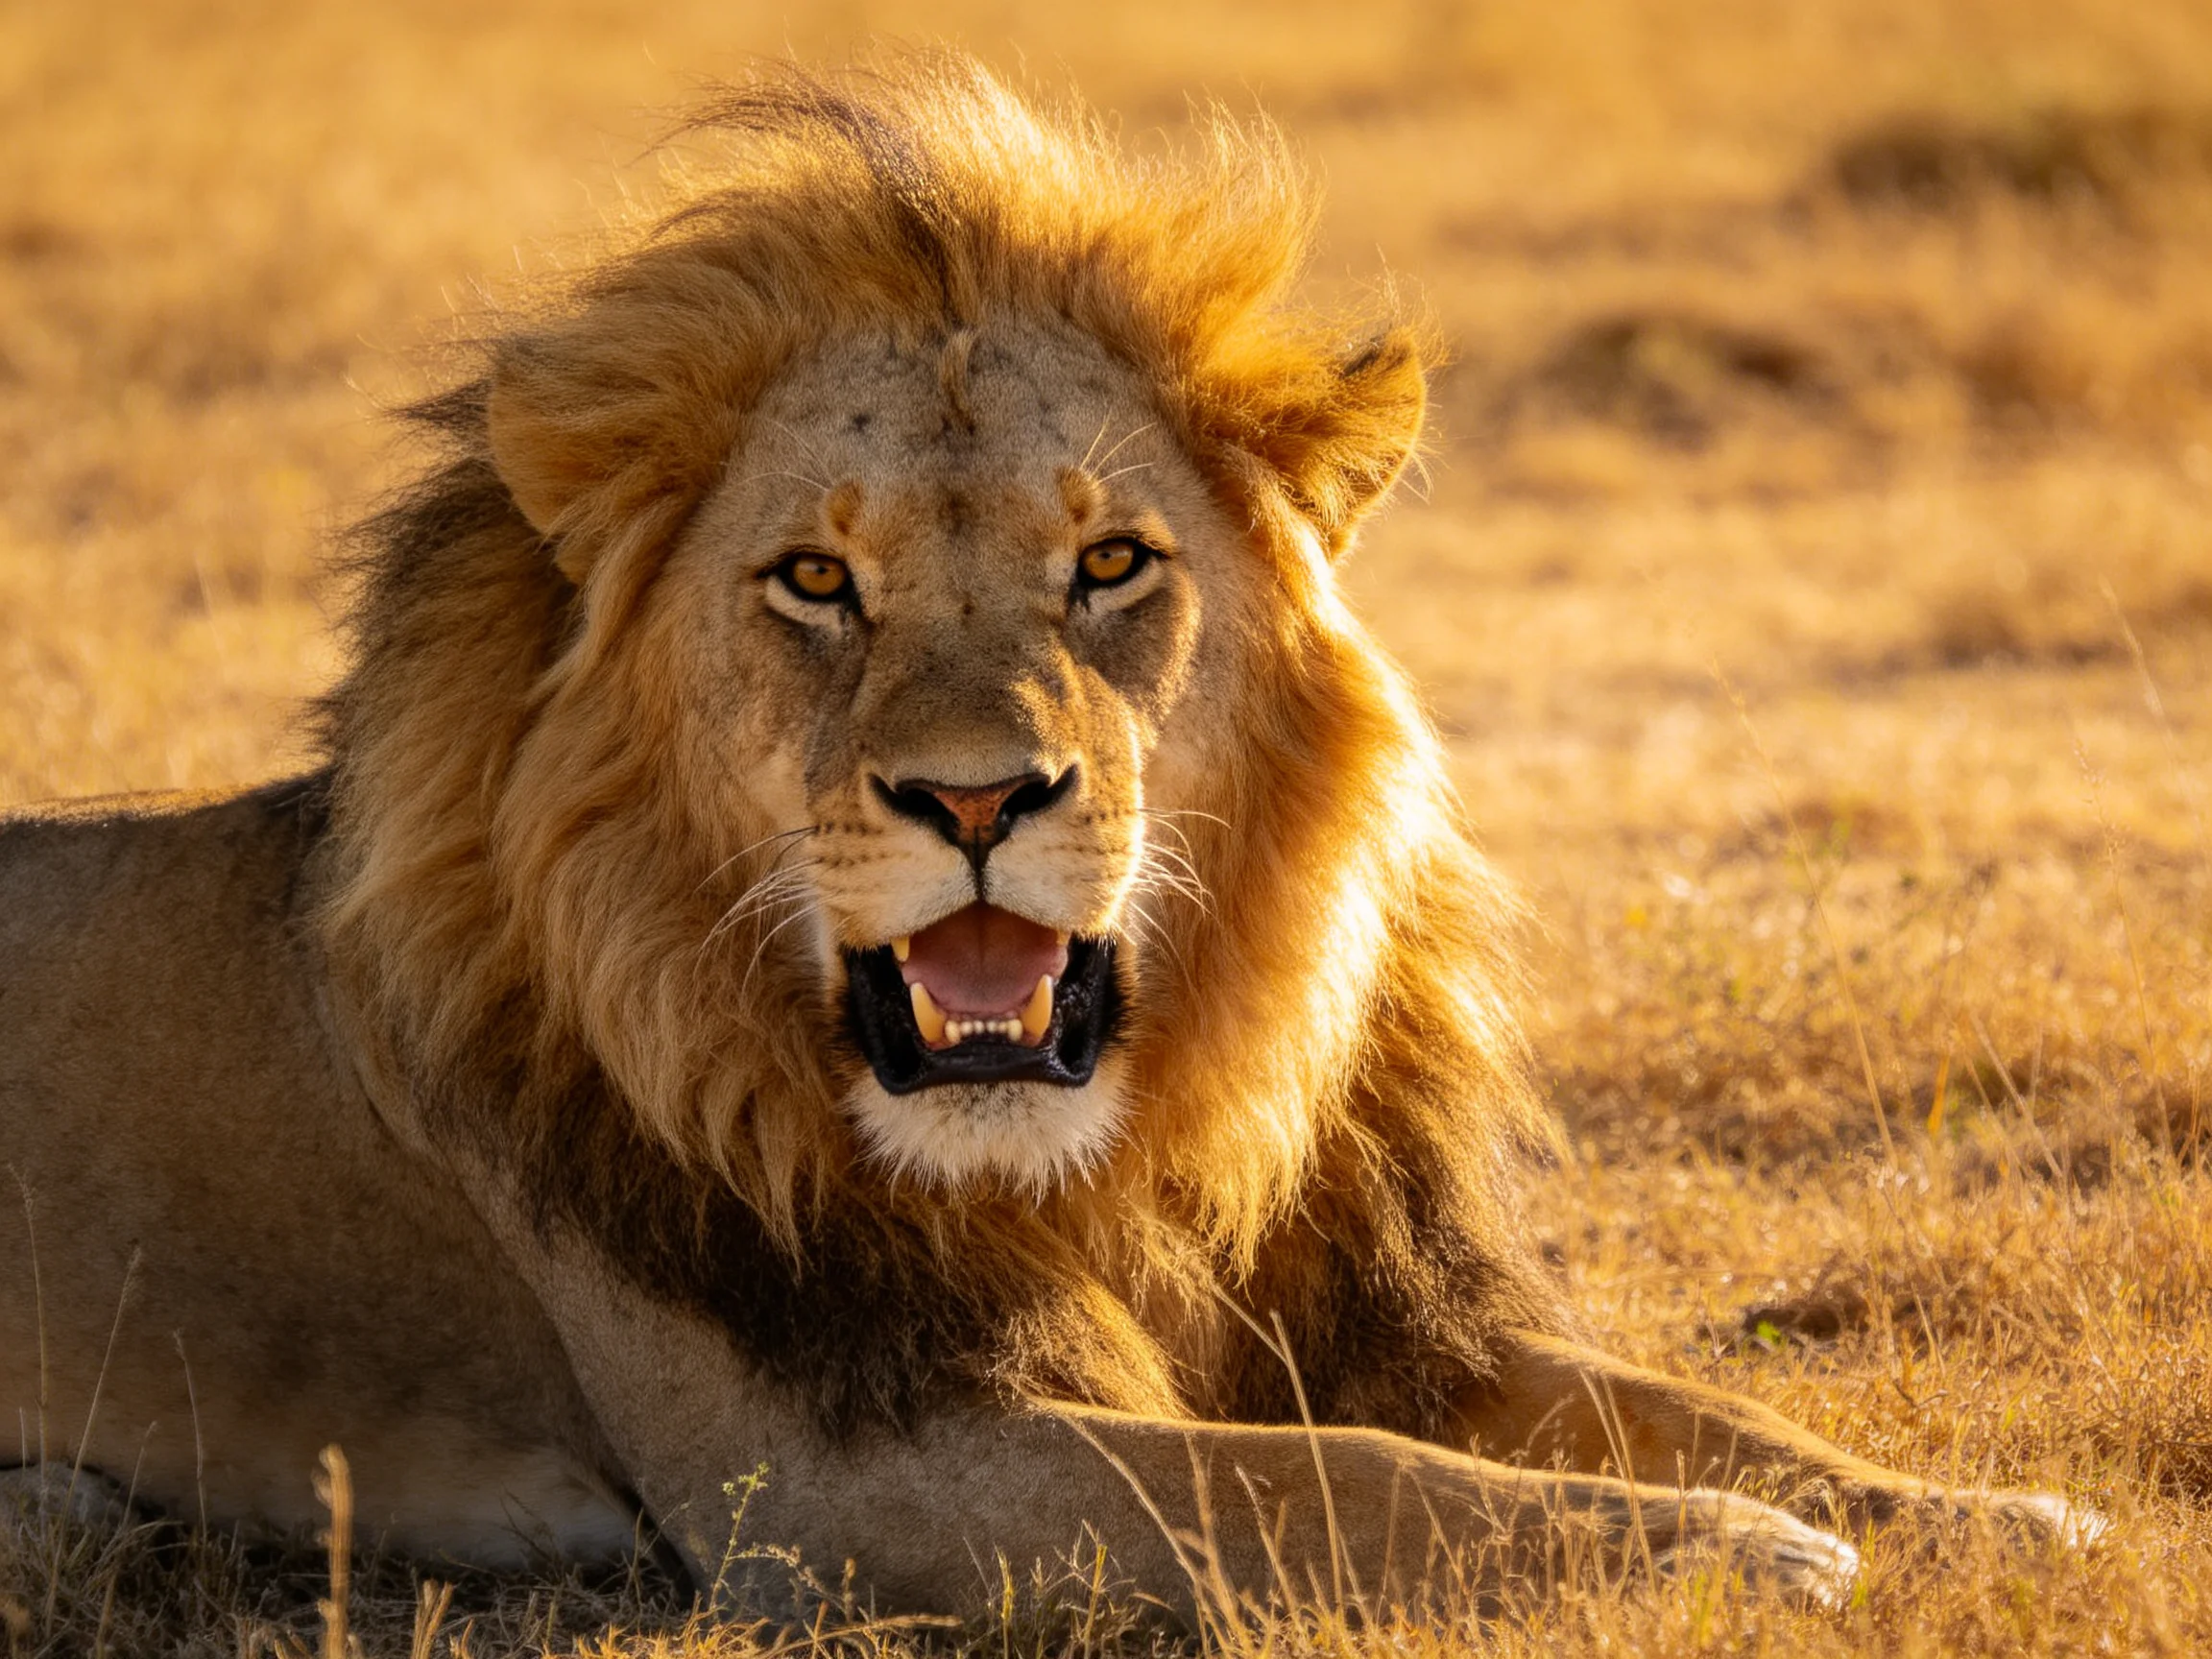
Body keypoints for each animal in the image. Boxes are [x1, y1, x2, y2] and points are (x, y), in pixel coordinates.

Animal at [0, 58, 2085, 1623]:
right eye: (816, 581)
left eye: (1108, 565)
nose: (977, 800)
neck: (1114, 1153)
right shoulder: (853, 1471)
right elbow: (1342, 1490)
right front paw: (1748, 1563)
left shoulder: (1386, 1311)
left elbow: (1699, 1409)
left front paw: (1986, 1520)